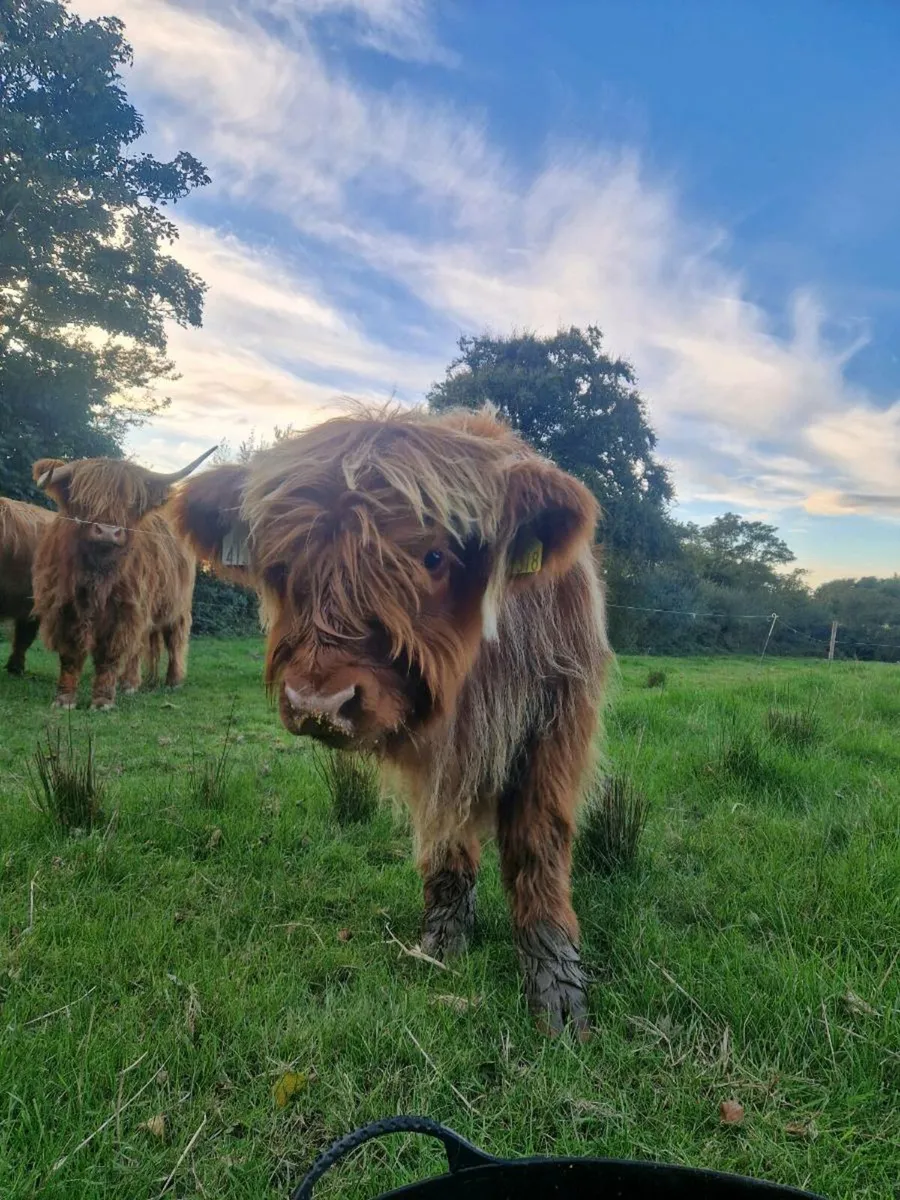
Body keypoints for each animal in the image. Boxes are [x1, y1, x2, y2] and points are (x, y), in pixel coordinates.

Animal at [31, 448, 216, 710]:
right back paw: (131, 684)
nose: (108, 531)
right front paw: (64, 699)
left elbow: (110, 654)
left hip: (176, 607)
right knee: (140, 646)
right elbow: (70, 655)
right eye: (85, 498)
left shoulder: (124, 610)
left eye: (131, 503)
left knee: (174, 641)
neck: (96, 576)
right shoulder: (64, 606)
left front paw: (102, 701)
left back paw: (172, 681)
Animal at [173, 406, 611, 1034]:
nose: (318, 704)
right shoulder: (441, 757)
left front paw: (555, 985)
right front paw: (442, 941)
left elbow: (537, 841)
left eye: (433, 557)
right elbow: (446, 837)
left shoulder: (557, 715)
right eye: (279, 567)